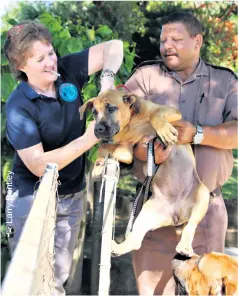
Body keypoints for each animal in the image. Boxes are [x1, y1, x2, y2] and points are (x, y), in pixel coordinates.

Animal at [79, 89, 209, 256]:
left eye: (111, 108)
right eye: (94, 112)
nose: (98, 129)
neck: (131, 122)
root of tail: (177, 213)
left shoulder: (171, 112)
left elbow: (155, 114)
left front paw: (164, 131)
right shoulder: (127, 148)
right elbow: (106, 147)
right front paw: (99, 165)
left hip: (202, 196)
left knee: (191, 227)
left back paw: (185, 247)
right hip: (147, 213)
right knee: (135, 241)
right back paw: (116, 248)